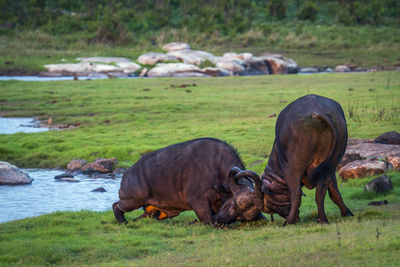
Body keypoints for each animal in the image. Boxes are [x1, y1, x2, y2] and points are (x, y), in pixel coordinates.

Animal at [112, 139, 264, 225]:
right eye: (233, 205)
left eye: (240, 217)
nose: (221, 220)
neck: (216, 167)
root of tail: (126, 175)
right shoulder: (198, 202)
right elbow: (209, 221)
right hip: (131, 201)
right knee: (116, 206)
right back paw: (122, 222)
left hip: (155, 213)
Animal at [260, 95, 354, 225]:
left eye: (269, 200)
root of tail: (317, 111)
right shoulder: (331, 172)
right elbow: (335, 192)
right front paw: (347, 212)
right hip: (330, 164)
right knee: (320, 193)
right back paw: (322, 219)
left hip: (294, 168)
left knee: (296, 195)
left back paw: (288, 222)